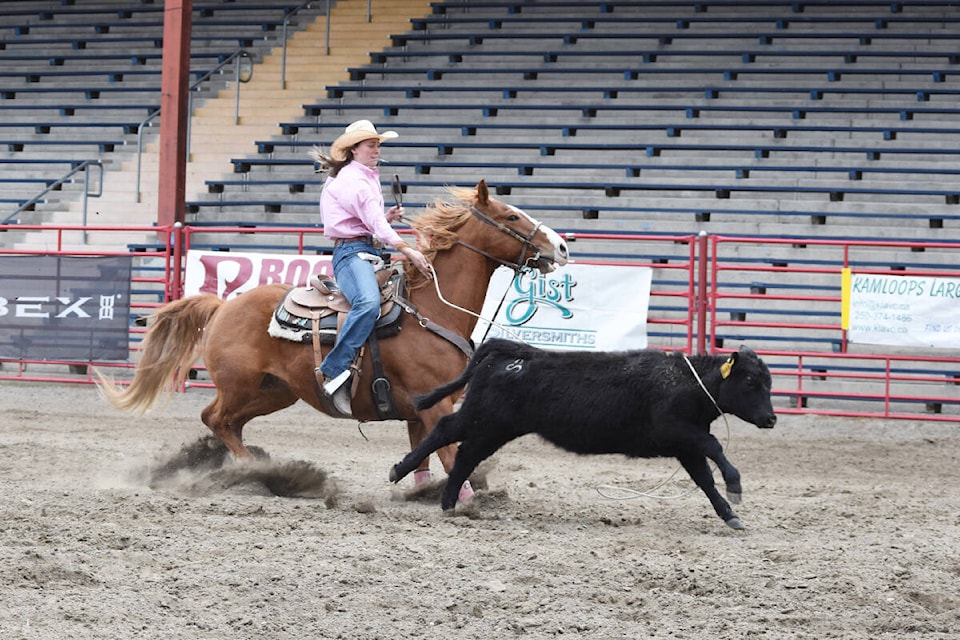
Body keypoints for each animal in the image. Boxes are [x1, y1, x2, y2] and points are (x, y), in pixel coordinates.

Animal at [97, 180, 568, 480]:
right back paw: (257, 470)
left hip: (275, 392)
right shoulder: (434, 407)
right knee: (214, 417)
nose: (562, 246)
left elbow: (423, 459)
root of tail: (223, 306)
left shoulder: (422, 411)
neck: (431, 309)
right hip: (240, 385)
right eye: (511, 216)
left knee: (229, 423)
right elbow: (451, 459)